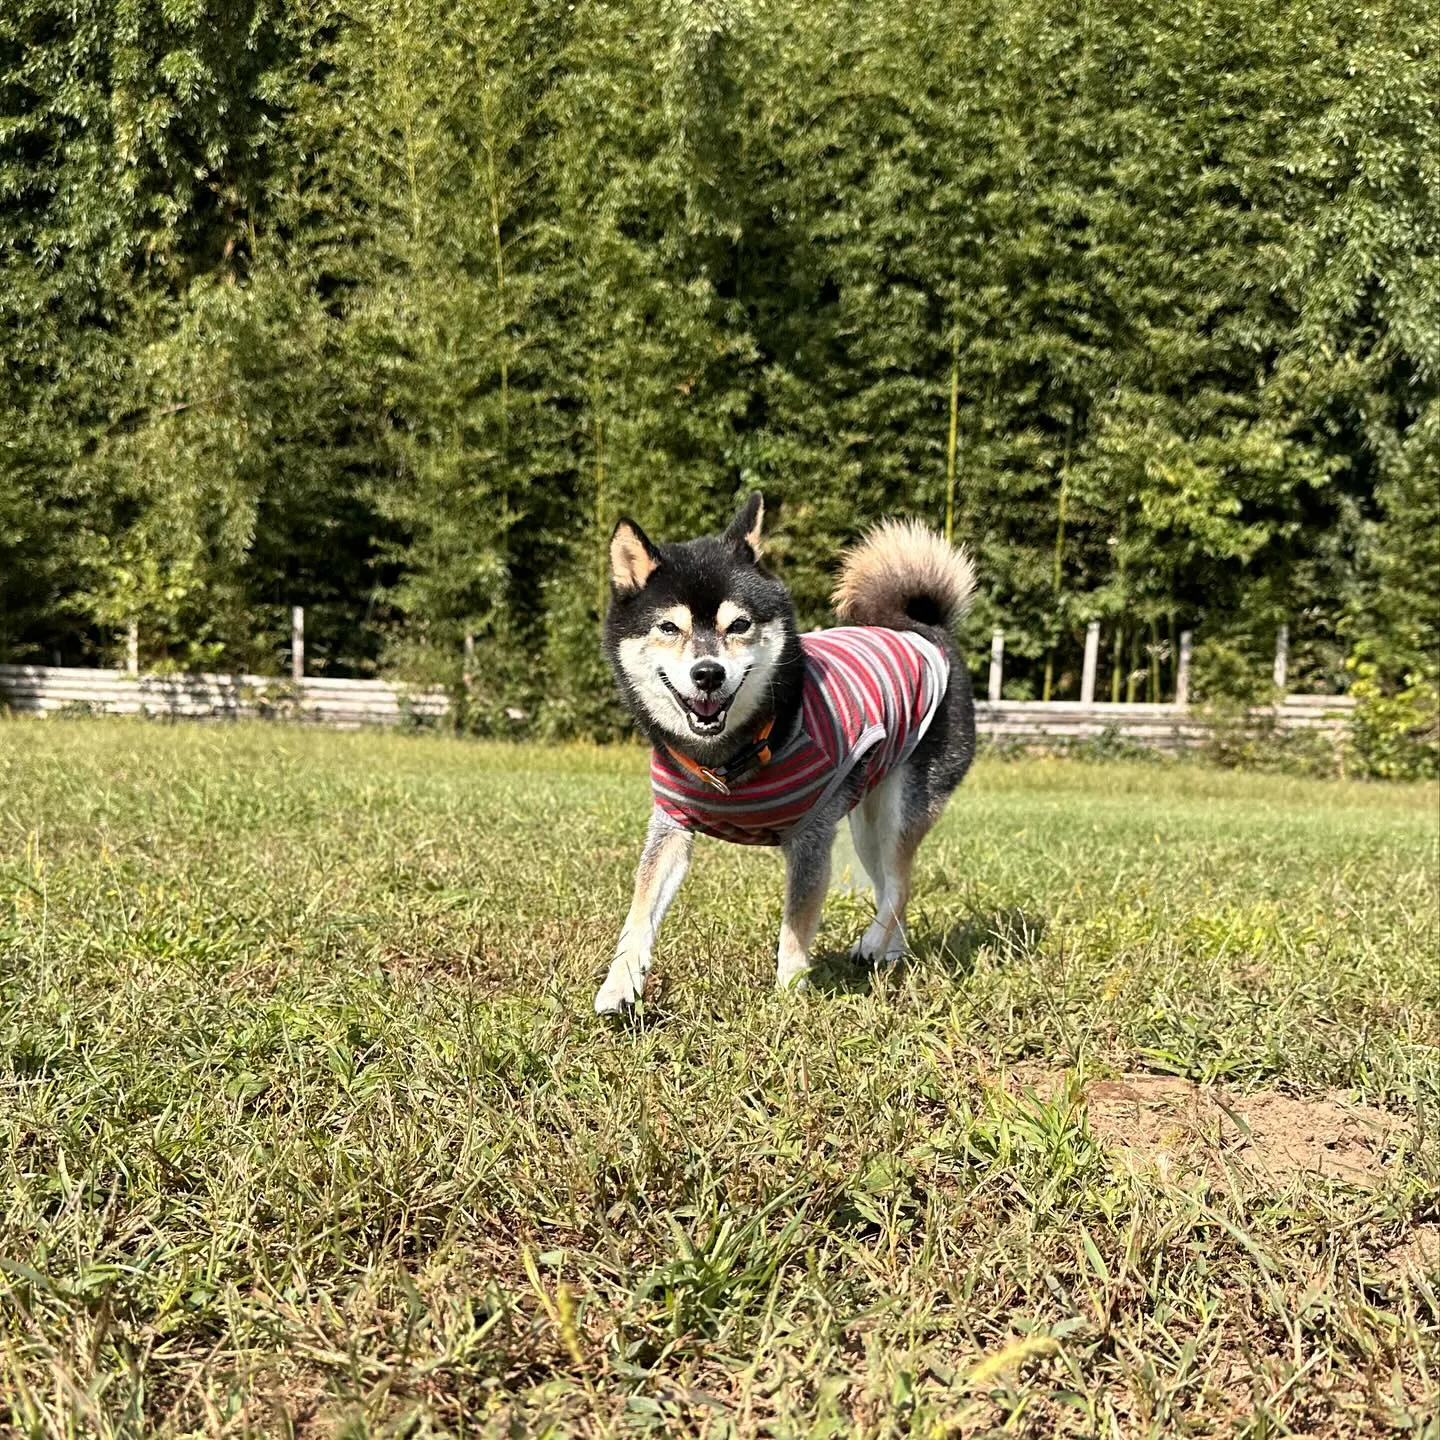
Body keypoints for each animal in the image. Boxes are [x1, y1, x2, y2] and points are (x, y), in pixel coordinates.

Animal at [596, 495, 979, 1013]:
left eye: (739, 625)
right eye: (668, 627)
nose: (708, 674)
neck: (731, 758)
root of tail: (921, 627)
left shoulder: (811, 834)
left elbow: (796, 925)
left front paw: (790, 993)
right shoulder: (671, 824)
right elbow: (640, 908)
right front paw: (618, 985)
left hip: (902, 804)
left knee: (900, 885)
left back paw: (873, 943)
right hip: (866, 820)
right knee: (890, 883)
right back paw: (889, 950)